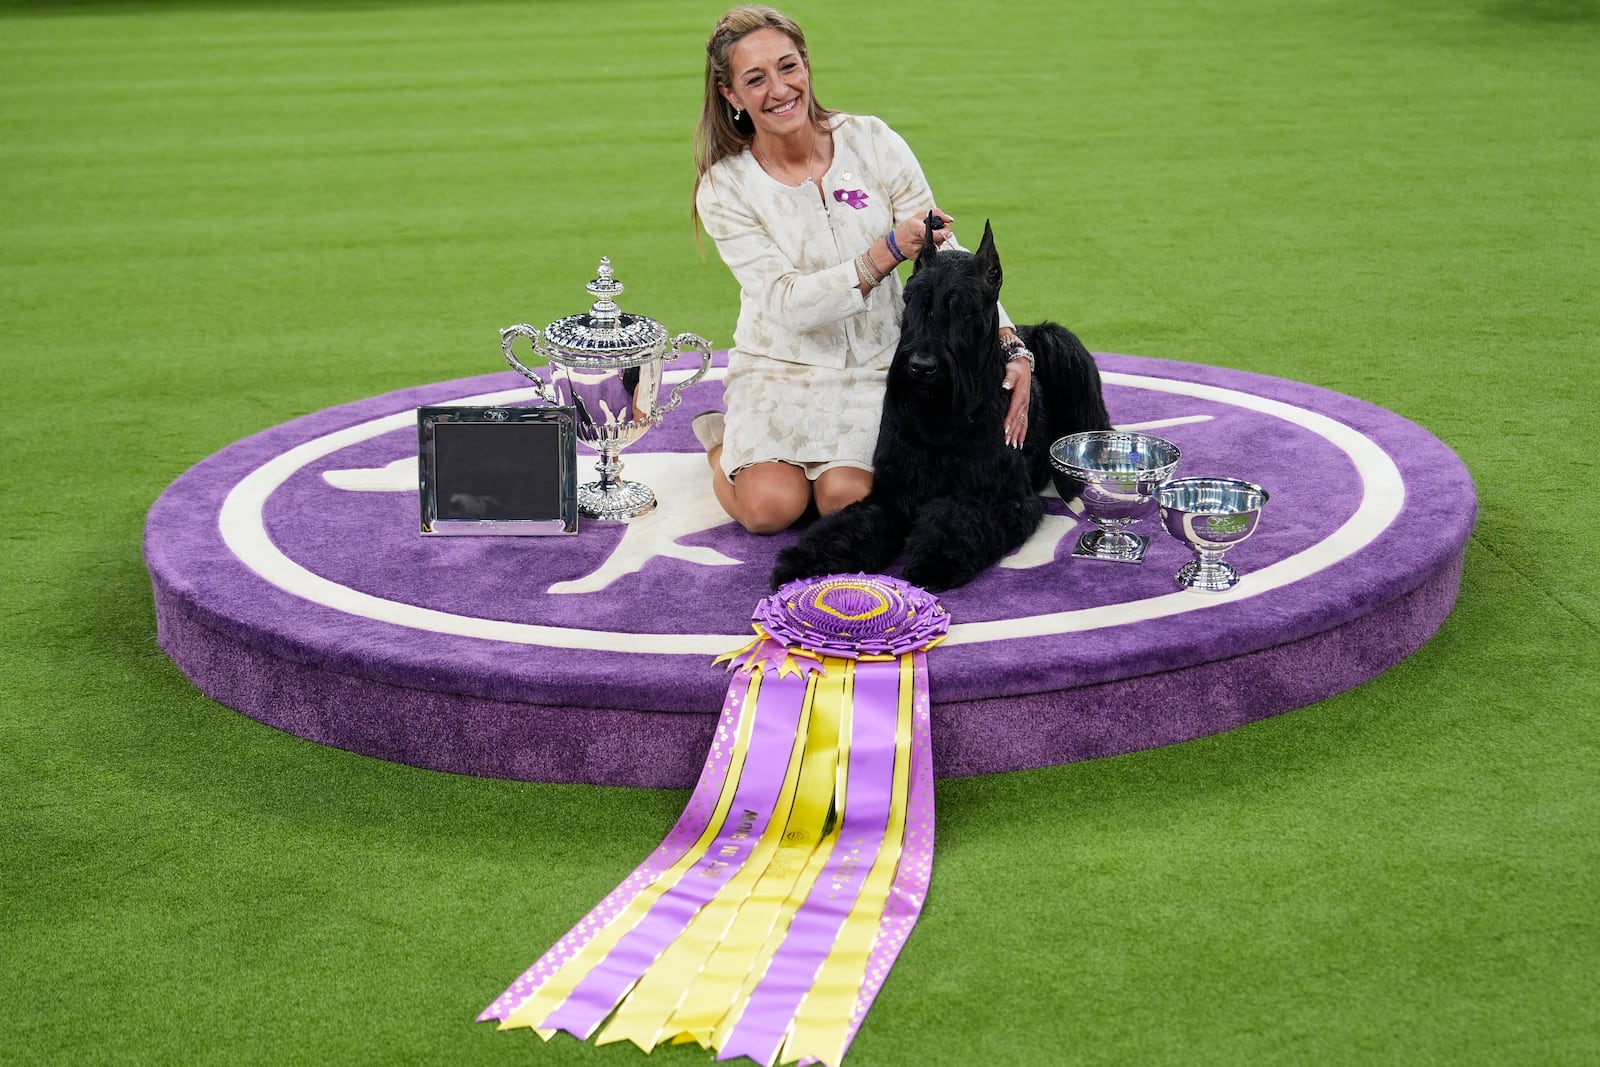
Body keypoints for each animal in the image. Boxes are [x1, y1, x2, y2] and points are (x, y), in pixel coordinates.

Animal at [774, 217, 1113, 591]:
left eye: (964, 308)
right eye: (912, 299)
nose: (921, 367)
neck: (941, 419)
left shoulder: (1000, 498)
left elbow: (957, 523)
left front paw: (935, 559)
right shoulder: (892, 494)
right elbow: (849, 527)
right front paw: (804, 559)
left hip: (1060, 343)